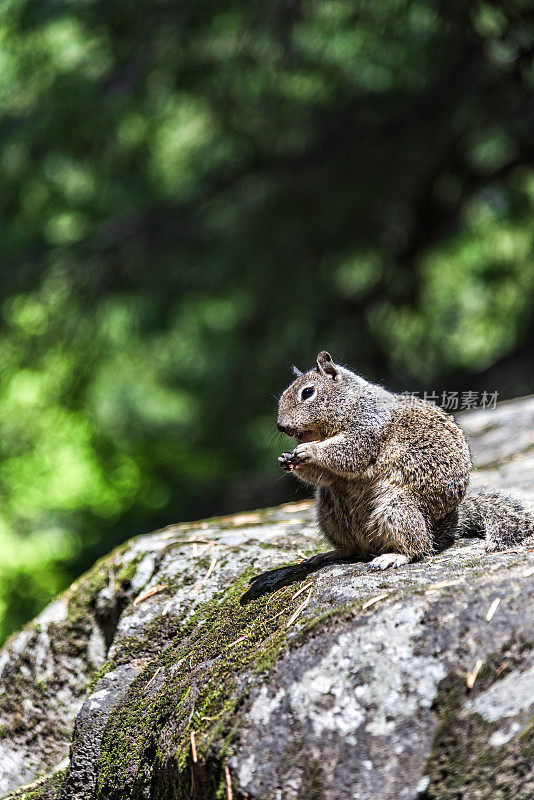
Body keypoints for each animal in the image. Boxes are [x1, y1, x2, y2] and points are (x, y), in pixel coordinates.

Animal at [244, 350, 534, 600]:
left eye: (307, 392)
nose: (281, 426)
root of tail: (438, 526)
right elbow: (324, 476)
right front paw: (286, 460)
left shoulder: (368, 428)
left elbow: (348, 452)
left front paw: (310, 450)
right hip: (330, 514)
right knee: (353, 549)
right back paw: (329, 554)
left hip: (397, 508)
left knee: (418, 547)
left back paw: (393, 556)